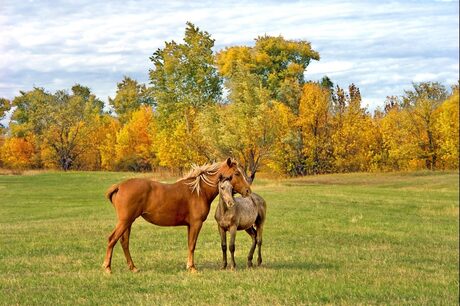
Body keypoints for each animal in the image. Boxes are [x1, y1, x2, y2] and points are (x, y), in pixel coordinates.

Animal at [102, 158, 252, 272]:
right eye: (237, 173)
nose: (248, 191)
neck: (198, 191)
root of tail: (119, 186)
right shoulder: (196, 224)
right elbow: (192, 245)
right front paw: (192, 268)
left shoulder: (189, 225)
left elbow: (189, 244)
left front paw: (189, 265)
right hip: (125, 221)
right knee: (112, 239)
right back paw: (107, 268)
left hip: (128, 222)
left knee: (124, 242)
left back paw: (133, 268)